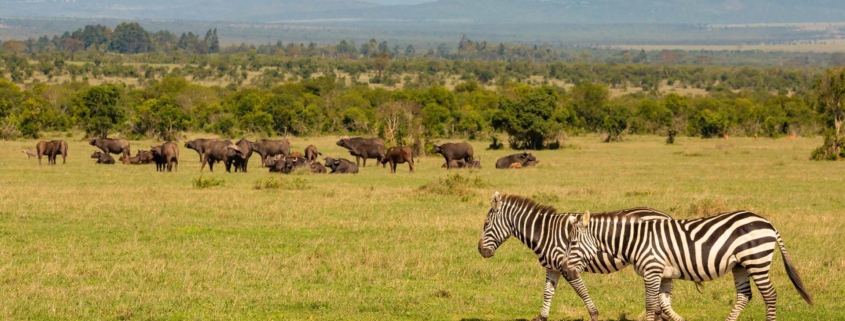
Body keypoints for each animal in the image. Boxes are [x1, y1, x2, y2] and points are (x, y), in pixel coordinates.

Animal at [478, 191, 684, 320]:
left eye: (486, 224)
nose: (481, 251)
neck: (544, 232)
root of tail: (666, 216)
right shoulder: (552, 268)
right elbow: (547, 292)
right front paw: (542, 317)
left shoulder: (567, 267)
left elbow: (581, 291)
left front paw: (594, 314)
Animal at [560, 210, 812, 320]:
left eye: (573, 242)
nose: (565, 271)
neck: (637, 240)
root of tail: (767, 222)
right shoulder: (663, 275)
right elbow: (661, 306)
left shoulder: (652, 271)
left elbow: (651, 306)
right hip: (740, 265)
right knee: (744, 295)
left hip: (756, 260)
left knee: (770, 295)